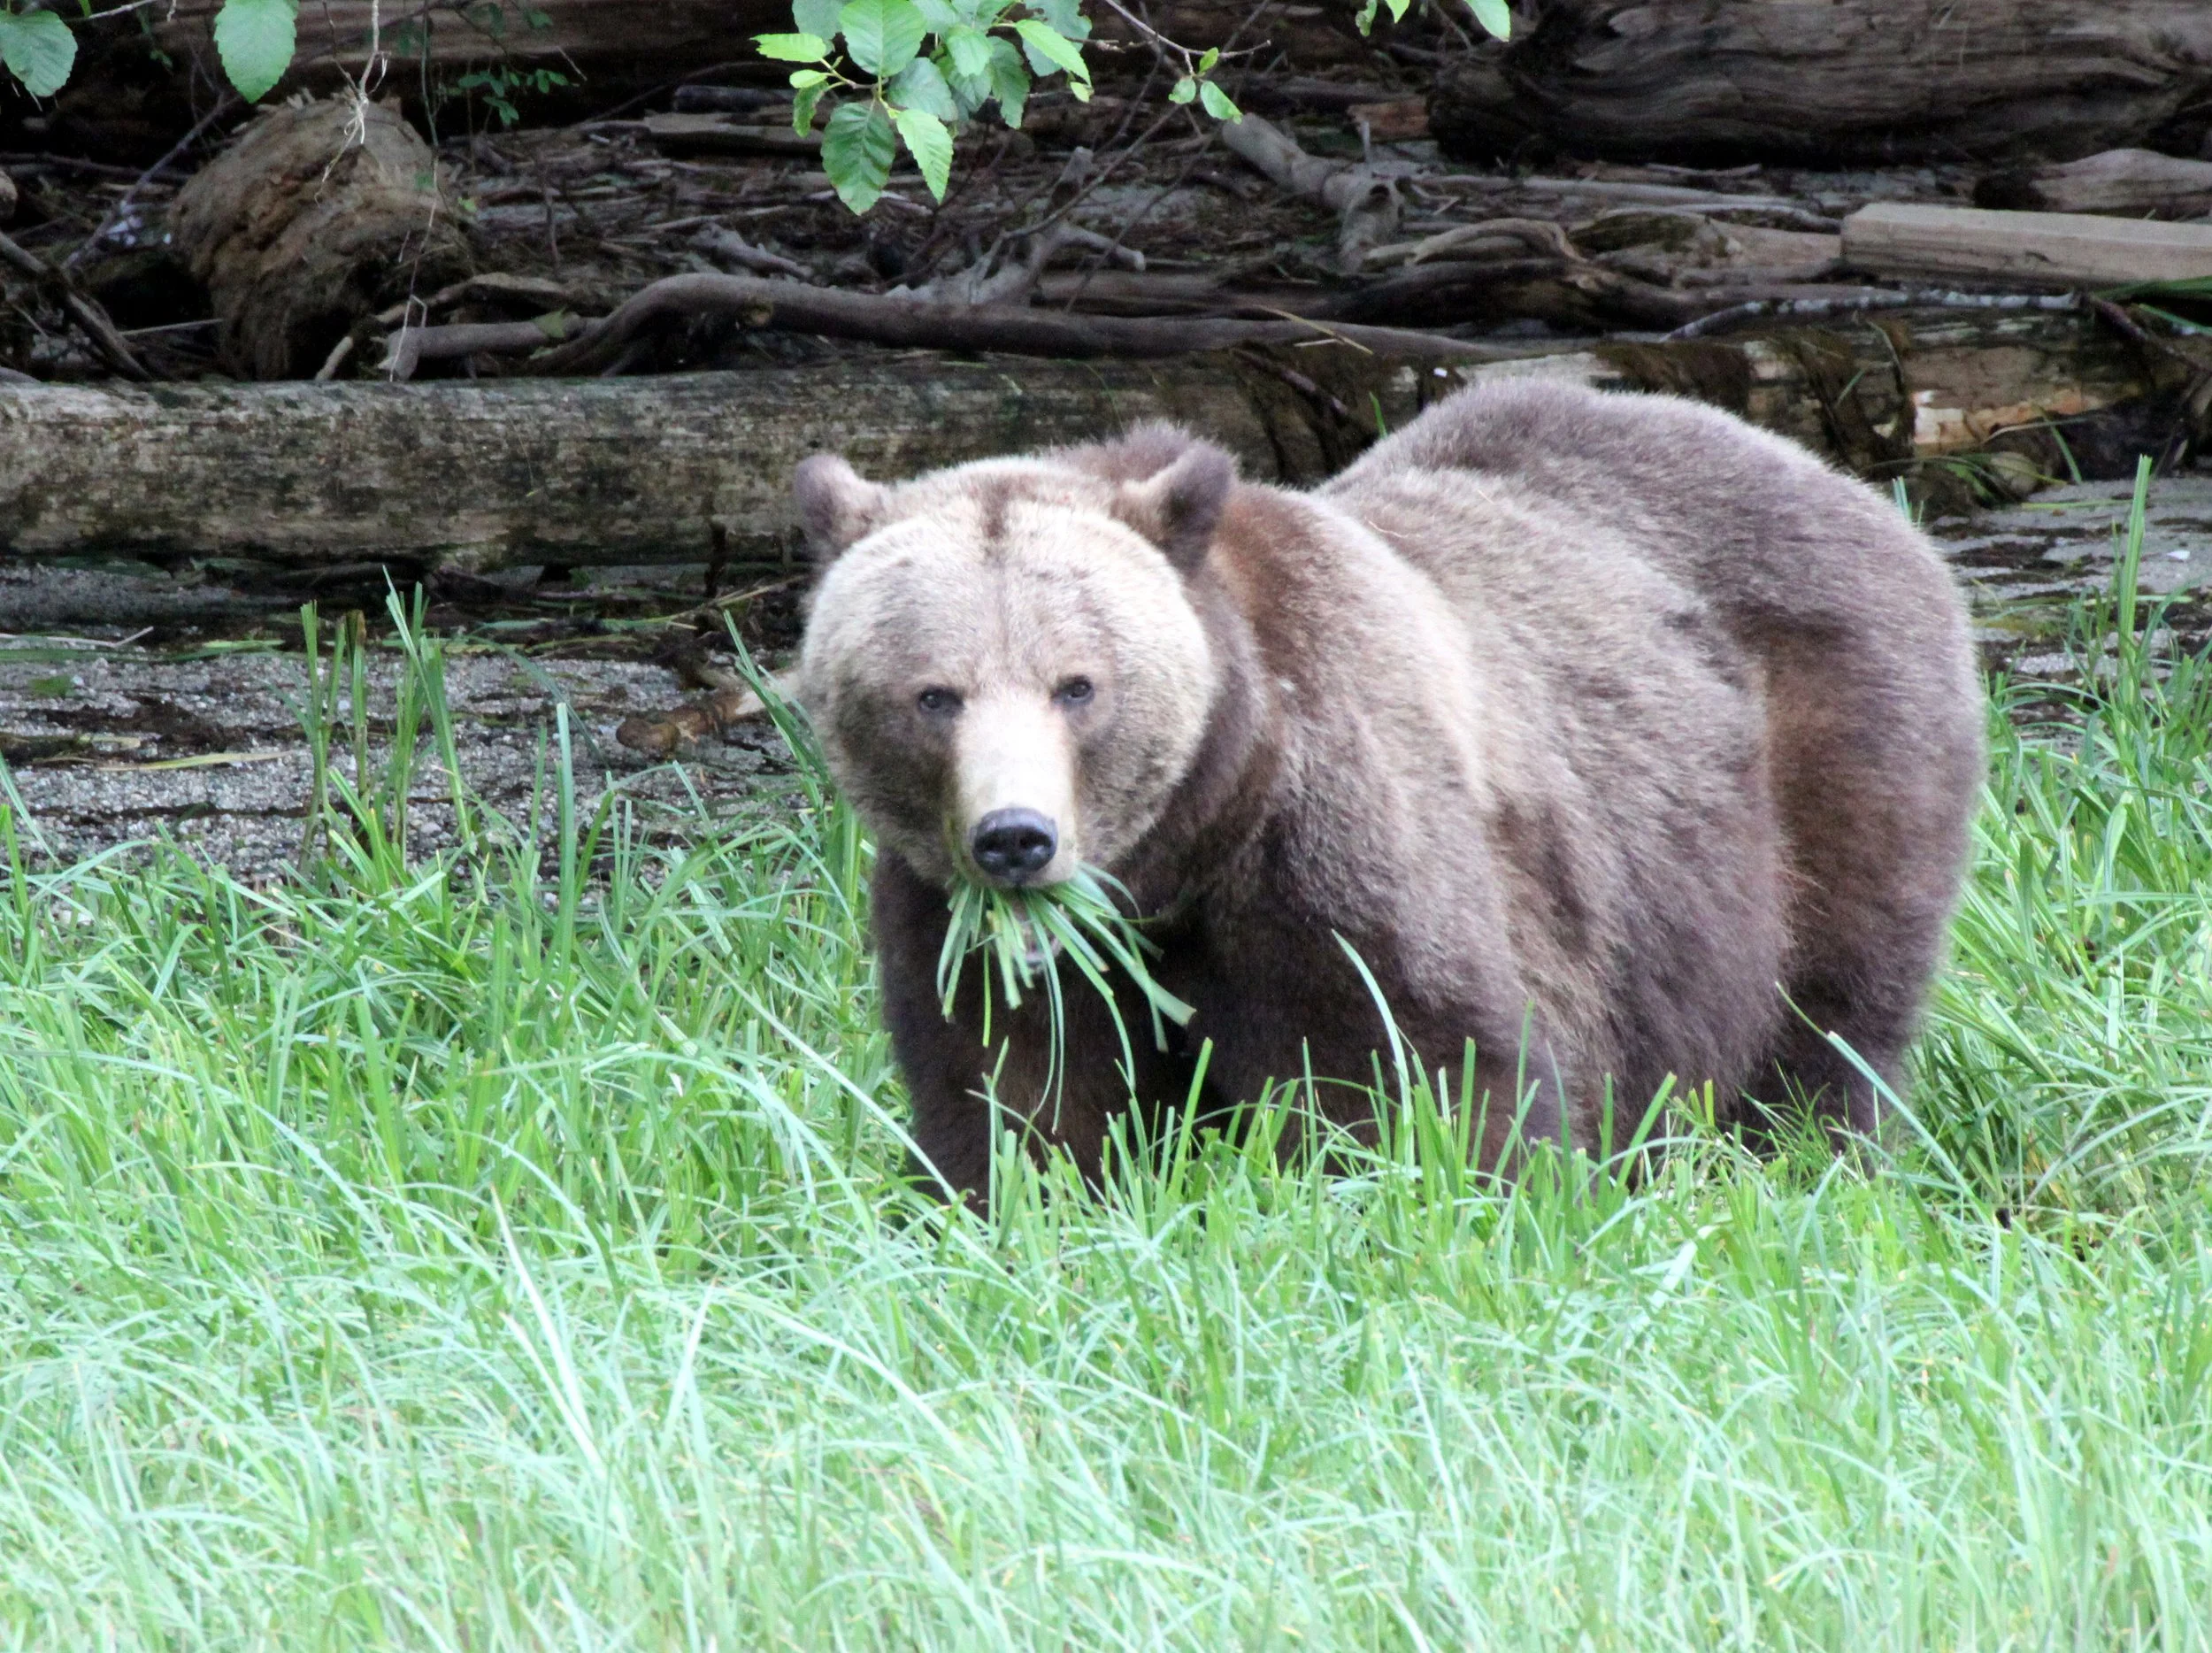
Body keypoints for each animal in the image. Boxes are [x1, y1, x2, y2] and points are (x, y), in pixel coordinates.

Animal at [791, 379, 1986, 1201]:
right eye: (932, 694)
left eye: (1077, 683)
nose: (1017, 838)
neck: (1182, 853)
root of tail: (1847, 487)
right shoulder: (967, 924)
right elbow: (1014, 1094)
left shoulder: (1332, 838)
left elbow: (1413, 1063)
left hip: (1820, 765)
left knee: (1826, 1013)